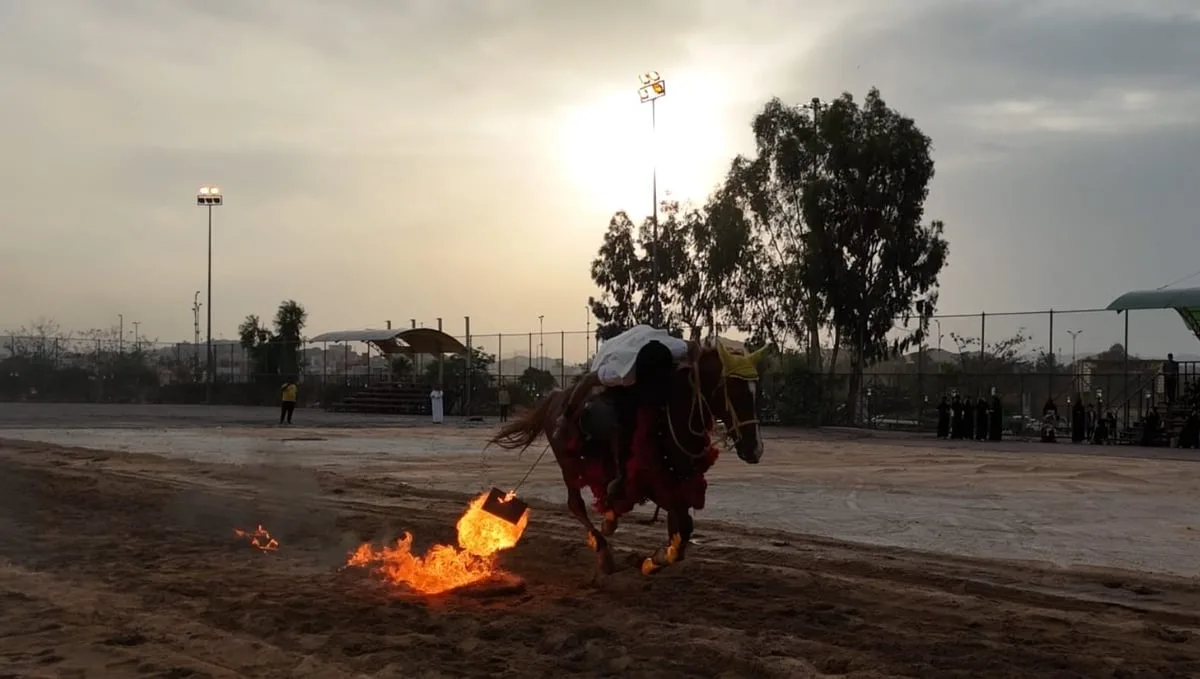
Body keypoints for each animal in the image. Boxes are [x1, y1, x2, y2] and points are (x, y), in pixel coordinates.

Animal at [484, 343, 758, 578]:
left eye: (754, 393)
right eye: (734, 392)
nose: (754, 449)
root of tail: (557, 397)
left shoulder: (678, 484)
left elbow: (681, 536)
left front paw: (650, 562)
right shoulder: (658, 485)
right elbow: (680, 531)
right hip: (568, 465)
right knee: (575, 504)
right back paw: (603, 548)